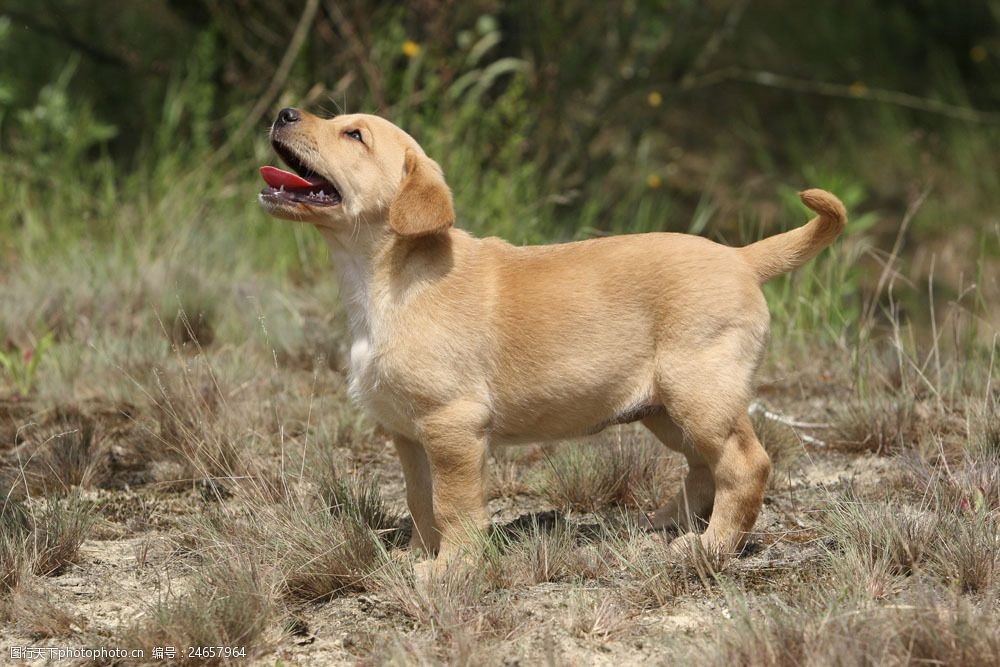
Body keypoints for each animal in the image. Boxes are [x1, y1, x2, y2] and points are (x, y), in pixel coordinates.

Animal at [256, 108, 844, 568]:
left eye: (354, 135)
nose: (283, 112)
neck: (379, 280)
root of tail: (740, 257)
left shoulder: (452, 423)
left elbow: (453, 505)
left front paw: (450, 569)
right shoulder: (408, 434)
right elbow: (421, 501)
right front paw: (418, 556)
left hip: (699, 392)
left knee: (744, 465)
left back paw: (711, 547)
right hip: (666, 408)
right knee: (705, 466)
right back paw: (667, 524)